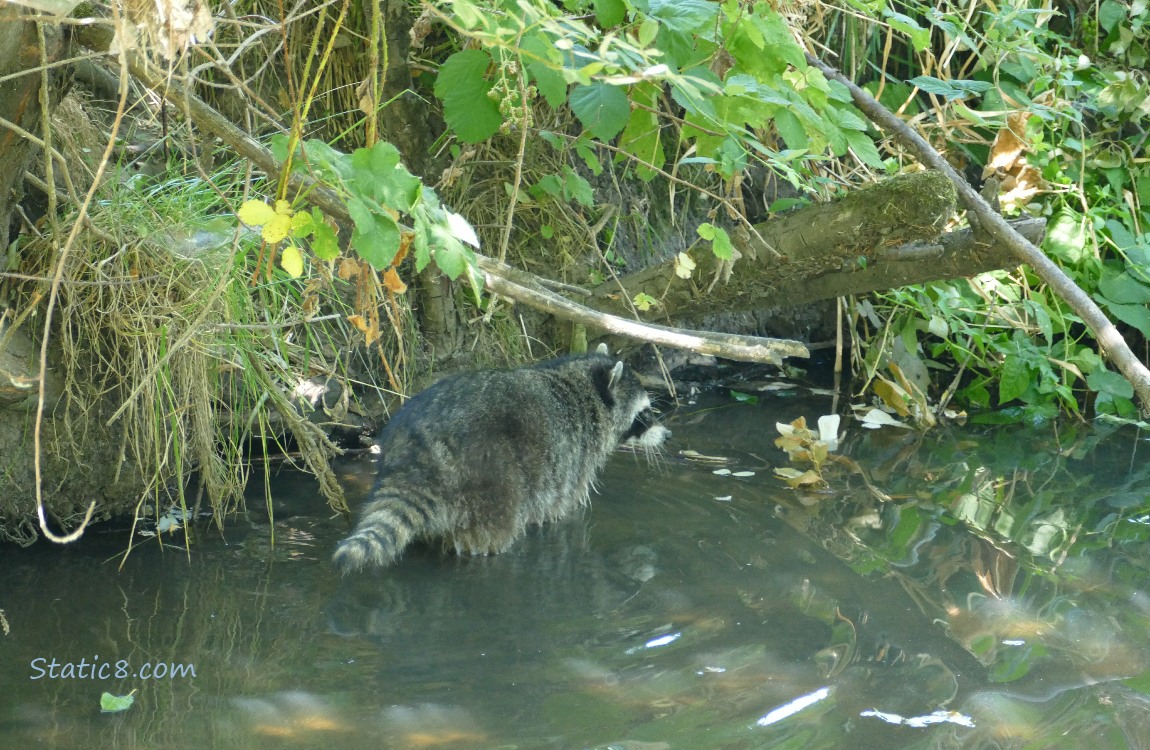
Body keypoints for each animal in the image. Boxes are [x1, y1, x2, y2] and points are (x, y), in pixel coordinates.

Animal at [332, 345, 668, 574]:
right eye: (645, 414)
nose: (667, 435)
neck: (583, 386)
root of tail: (421, 448)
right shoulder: (572, 457)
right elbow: (561, 507)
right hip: (491, 475)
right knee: (492, 529)